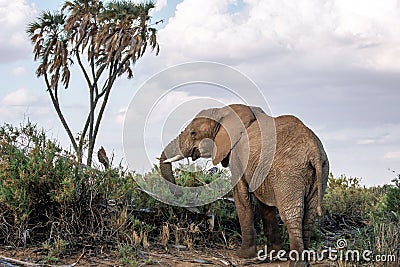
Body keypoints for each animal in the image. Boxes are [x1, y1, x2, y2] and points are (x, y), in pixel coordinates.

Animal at [158, 103, 330, 266]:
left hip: (289, 173)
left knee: (292, 214)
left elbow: (241, 195)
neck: (223, 110)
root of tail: (314, 150)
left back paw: (297, 263)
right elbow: (264, 205)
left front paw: (243, 255)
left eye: (193, 133)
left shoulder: (237, 154)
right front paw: (272, 255)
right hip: (320, 171)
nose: (198, 211)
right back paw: (304, 260)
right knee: (309, 216)